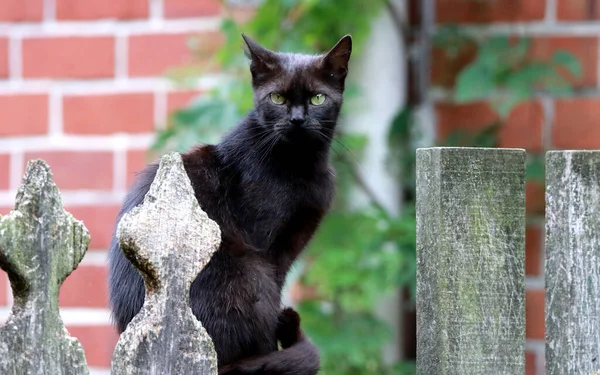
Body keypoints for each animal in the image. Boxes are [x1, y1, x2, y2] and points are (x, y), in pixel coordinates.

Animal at [108, 33, 352, 374]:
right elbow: (275, 299)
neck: (300, 164)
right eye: (277, 98)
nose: (297, 120)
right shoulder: (269, 249)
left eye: (318, 99)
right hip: (251, 271)